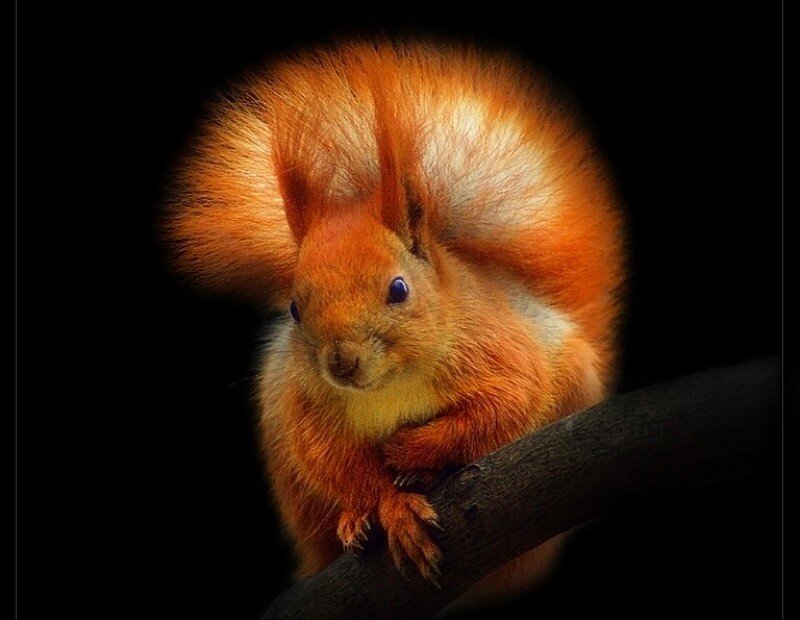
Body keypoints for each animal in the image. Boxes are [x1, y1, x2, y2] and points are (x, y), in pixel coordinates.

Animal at [166, 40, 624, 600]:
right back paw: (351, 522)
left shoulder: (502, 352)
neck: (390, 385)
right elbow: (335, 462)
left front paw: (407, 452)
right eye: (294, 308)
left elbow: (499, 410)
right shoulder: (304, 407)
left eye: (399, 289)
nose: (342, 363)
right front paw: (390, 506)